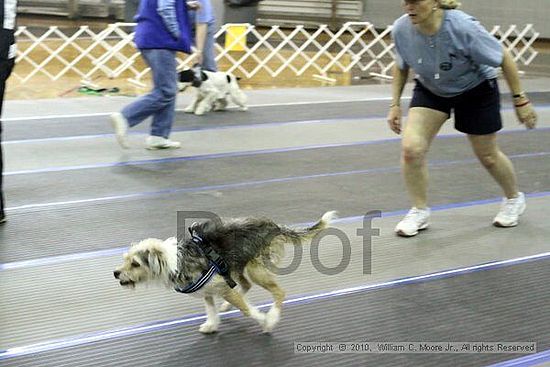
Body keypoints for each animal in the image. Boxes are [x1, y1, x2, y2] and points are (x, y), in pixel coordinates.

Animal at [113, 211, 336, 334]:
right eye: (125, 260)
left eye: (134, 264)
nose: (115, 273)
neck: (176, 260)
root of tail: (275, 226)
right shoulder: (210, 291)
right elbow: (211, 310)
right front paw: (212, 325)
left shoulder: (221, 287)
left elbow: (247, 310)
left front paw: (264, 320)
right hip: (238, 268)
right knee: (245, 286)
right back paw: (229, 305)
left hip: (255, 269)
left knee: (279, 292)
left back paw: (272, 317)